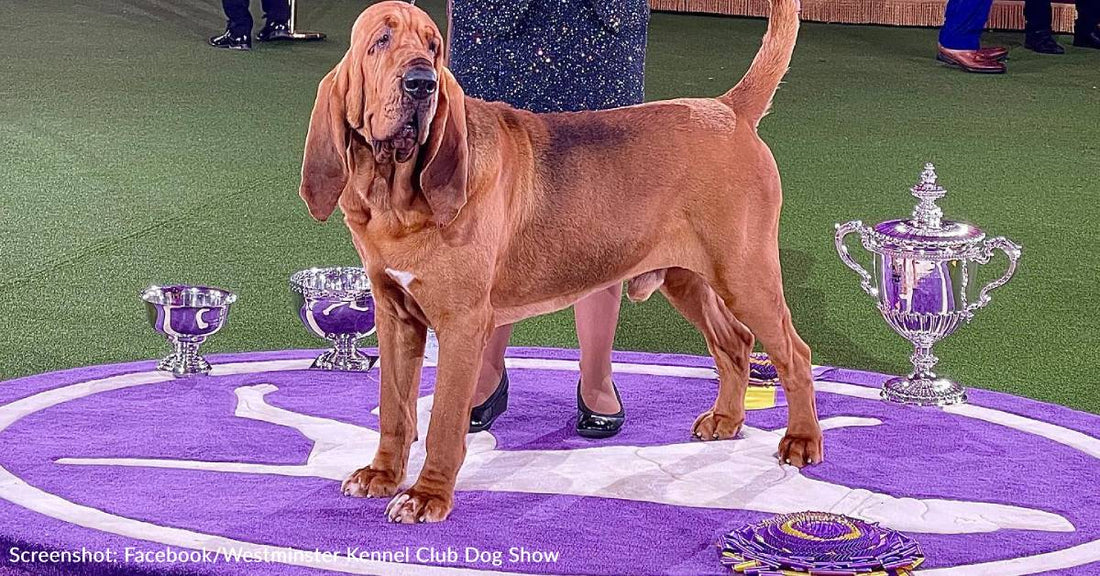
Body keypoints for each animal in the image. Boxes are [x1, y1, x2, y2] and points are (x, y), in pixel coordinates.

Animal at [297, 0, 822, 523]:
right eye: (380, 41)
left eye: (433, 46)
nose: (423, 83)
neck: (396, 193)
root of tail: (729, 109)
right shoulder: (394, 316)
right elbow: (394, 407)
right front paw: (382, 475)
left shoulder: (462, 322)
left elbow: (444, 419)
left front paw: (428, 495)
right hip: (688, 278)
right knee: (734, 342)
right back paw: (727, 420)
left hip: (745, 275)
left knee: (794, 353)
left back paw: (801, 440)